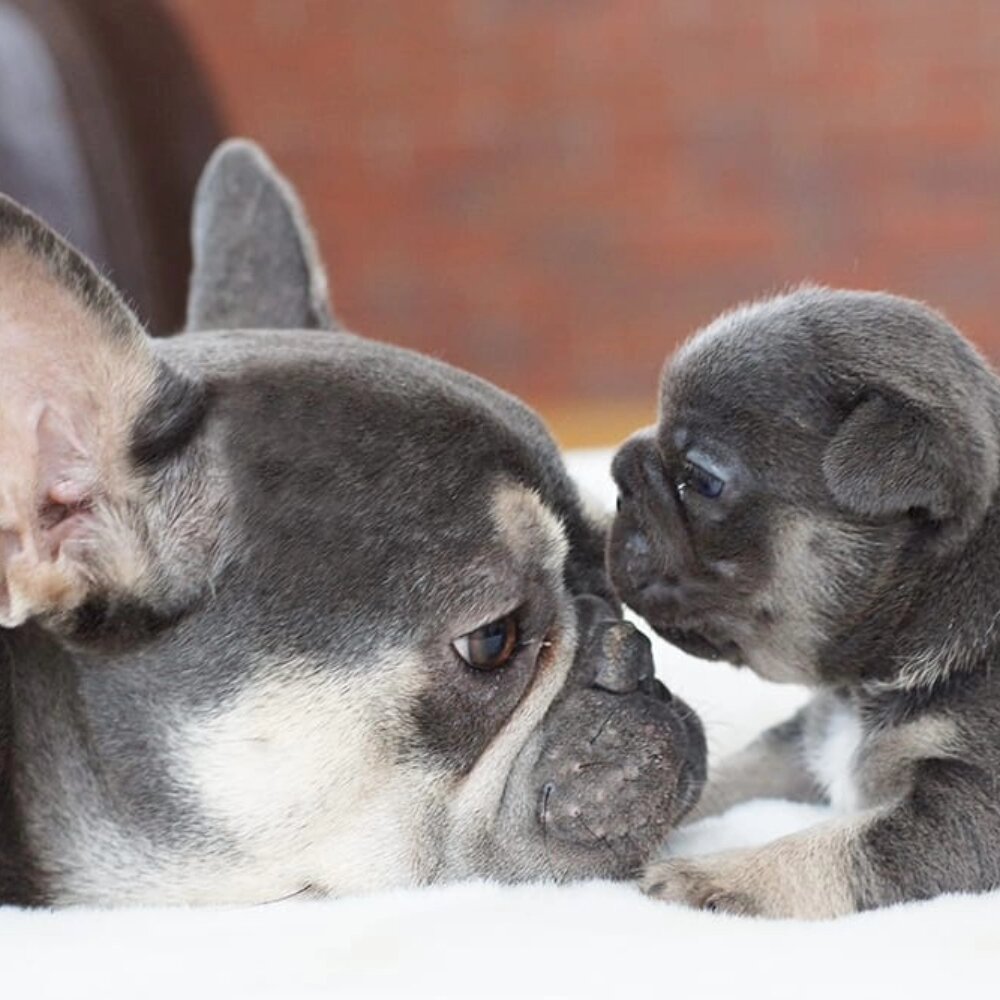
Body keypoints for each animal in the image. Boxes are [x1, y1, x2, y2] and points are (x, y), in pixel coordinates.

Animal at [608, 286, 1000, 916]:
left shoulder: (972, 809)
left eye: (702, 479)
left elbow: (840, 846)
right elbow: (729, 769)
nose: (618, 473)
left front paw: (717, 874)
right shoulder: (800, 740)